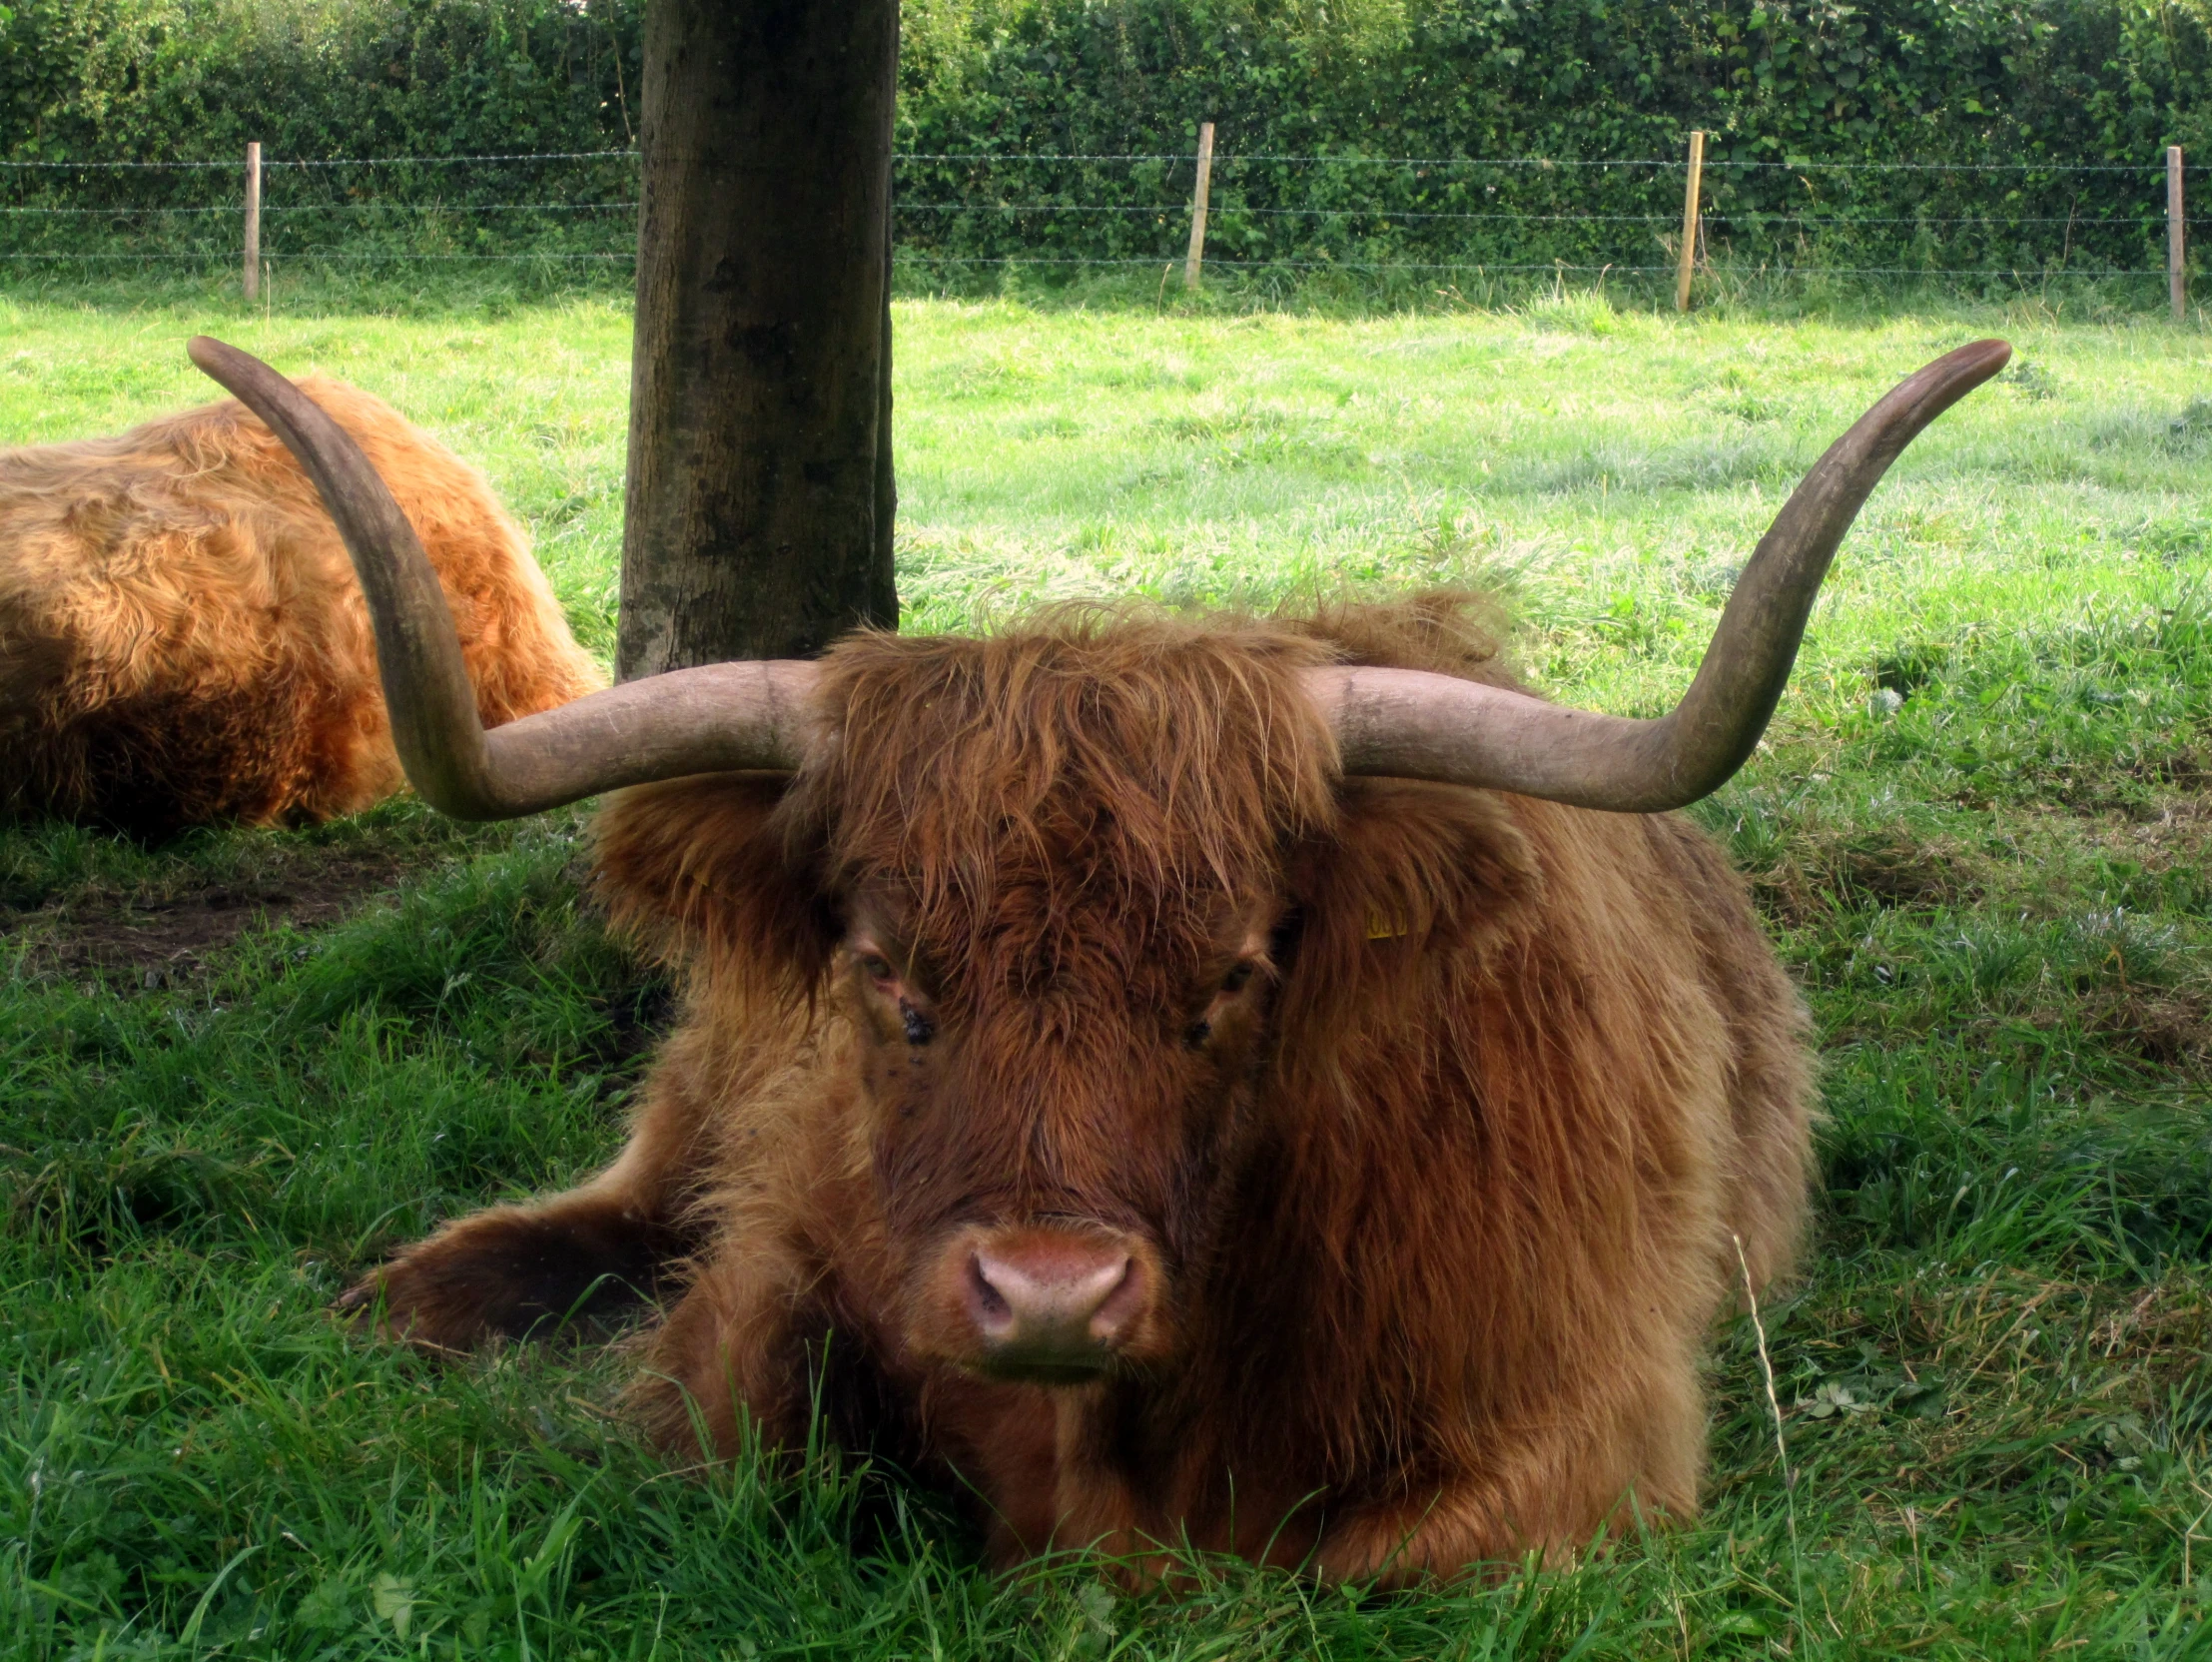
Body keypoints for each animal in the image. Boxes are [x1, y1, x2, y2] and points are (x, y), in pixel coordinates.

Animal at [199, 334, 2017, 1584]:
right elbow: (737, 1422)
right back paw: (405, 1297)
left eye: (1233, 977)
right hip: (696, 1100)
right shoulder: (776, 1271)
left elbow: (1366, 1556)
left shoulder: (1587, 1421)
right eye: (891, 979)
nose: (1050, 1287)